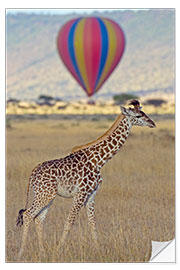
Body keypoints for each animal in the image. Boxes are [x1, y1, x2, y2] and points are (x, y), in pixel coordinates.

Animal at [16, 99, 155, 258]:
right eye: (138, 115)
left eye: (144, 112)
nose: (152, 123)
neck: (100, 160)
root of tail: (32, 174)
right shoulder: (81, 193)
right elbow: (69, 222)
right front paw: (59, 251)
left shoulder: (92, 194)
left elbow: (93, 223)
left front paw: (99, 251)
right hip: (44, 194)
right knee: (27, 214)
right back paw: (21, 253)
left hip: (47, 196)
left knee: (38, 219)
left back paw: (42, 252)